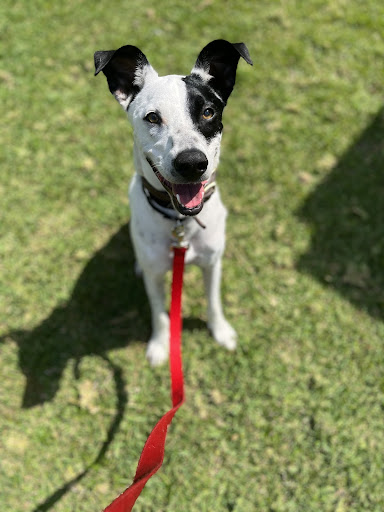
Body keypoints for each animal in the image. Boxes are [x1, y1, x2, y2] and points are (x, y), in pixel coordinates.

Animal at [95, 41, 254, 368]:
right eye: (152, 118)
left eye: (208, 112)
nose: (192, 163)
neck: (179, 221)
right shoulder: (156, 277)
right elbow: (159, 313)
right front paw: (159, 345)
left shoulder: (212, 264)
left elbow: (213, 301)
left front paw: (221, 331)